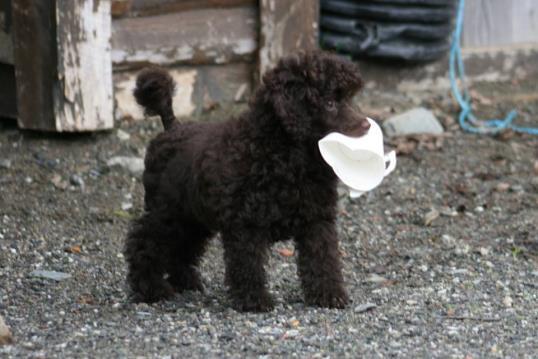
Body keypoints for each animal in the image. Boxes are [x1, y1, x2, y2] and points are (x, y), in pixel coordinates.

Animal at [124, 50, 368, 312]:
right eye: (330, 103)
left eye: (349, 99)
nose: (366, 126)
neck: (287, 155)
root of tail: (172, 128)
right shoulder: (245, 224)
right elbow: (247, 264)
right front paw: (255, 300)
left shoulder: (317, 220)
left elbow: (323, 258)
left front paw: (329, 294)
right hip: (167, 211)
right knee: (143, 242)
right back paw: (150, 288)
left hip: (193, 217)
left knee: (183, 247)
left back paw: (185, 282)